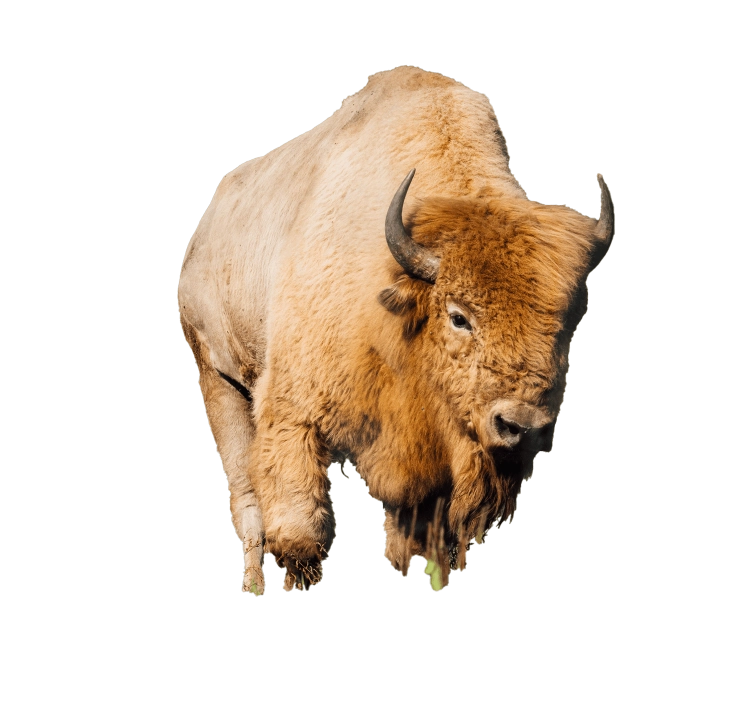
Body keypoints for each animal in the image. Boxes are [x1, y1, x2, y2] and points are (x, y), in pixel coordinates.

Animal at [177, 65, 615, 594]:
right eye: (458, 316)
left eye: (568, 321)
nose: (521, 427)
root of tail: (203, 235)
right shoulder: (293, 413)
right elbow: (301, 538)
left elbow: (420, 544)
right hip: (217, 378)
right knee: (247, 507)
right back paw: (253, 588)